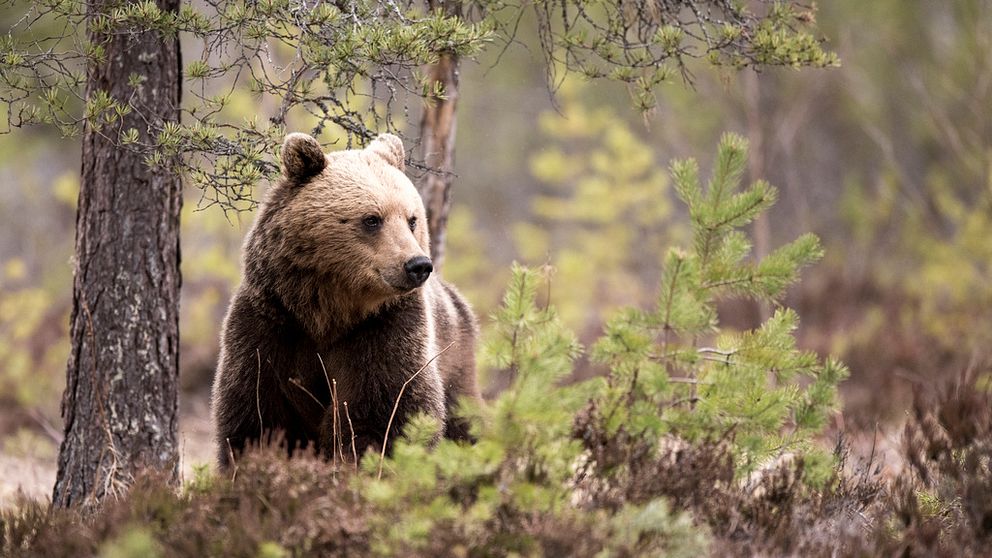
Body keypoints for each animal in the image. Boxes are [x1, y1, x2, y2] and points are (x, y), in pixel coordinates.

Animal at [212, 132, 480, 468]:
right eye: (372, 219)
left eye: (412, 219)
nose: (417, 265)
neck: (328, 311)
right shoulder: (272, 323)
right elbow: (256, 411)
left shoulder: (384, 329)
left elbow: (384, 411)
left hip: (454, 356)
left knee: (462, 421)